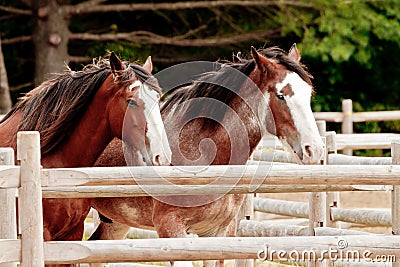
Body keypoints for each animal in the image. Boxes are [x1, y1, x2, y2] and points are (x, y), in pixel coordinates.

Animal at [91, 45, 324, 266]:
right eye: (281, 95)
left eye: (308, 93)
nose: (314, 149)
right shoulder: (170, 227)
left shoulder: (218, 232)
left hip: (116, 222)